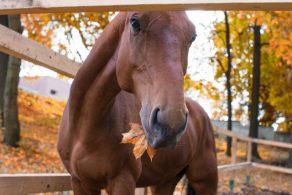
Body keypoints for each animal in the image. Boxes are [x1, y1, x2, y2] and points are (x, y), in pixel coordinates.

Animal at [57, 11, 217, 194]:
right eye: (135, 22)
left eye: (193, 36)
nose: (170, 123)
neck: (84, 129)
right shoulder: (80, 182)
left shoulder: (123, 181)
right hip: (165, 181)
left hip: (205, 182)